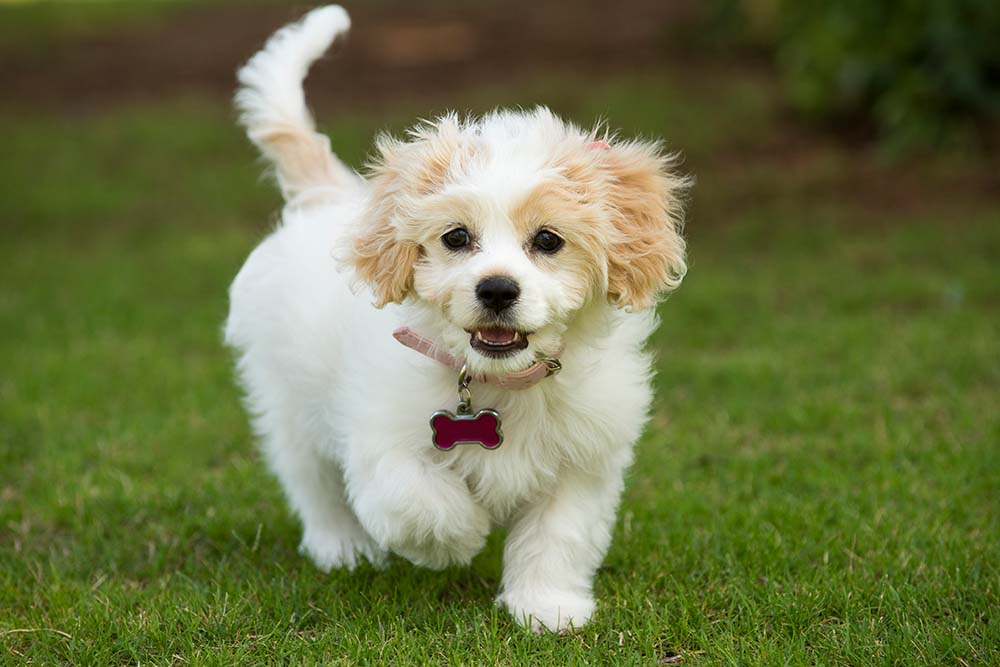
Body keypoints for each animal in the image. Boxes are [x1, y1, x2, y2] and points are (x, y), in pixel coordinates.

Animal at [227, 3, 688, 632]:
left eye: (548, 239)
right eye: (455, 237)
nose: (496, 289)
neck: (500, 382)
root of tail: (327, 197)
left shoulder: (584, 461)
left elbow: (558, 535)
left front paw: (546, 607)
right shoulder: (381, 439)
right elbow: (418, 501)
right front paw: (461, 537)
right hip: (288, 400)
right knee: (311, 480)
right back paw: (341, 546)